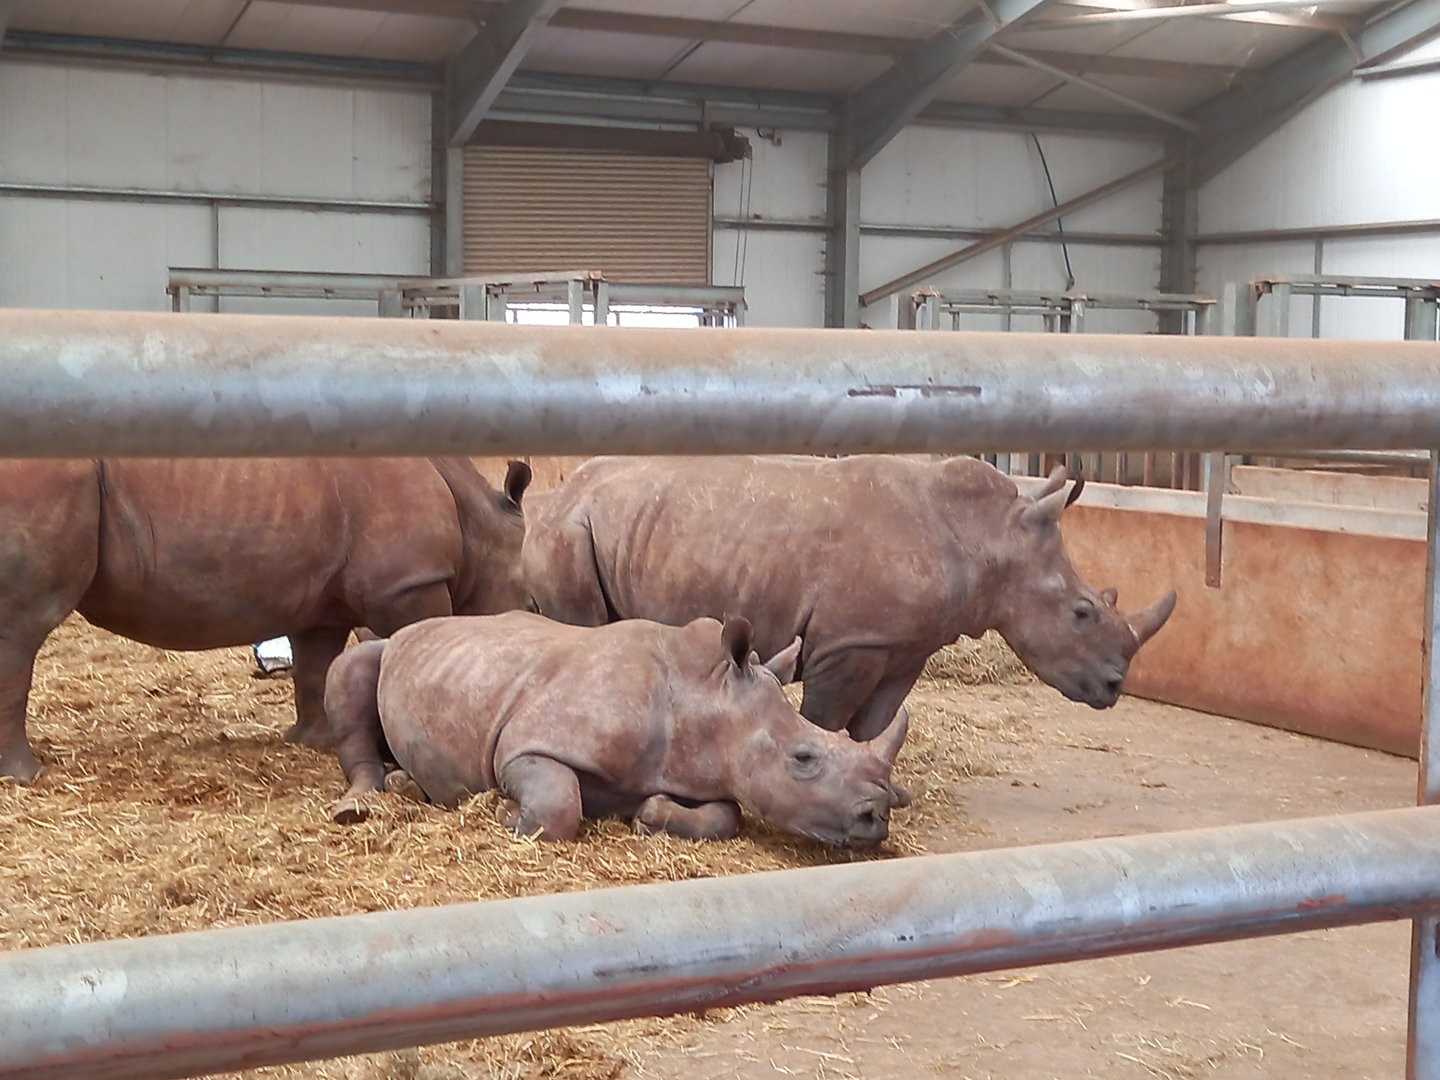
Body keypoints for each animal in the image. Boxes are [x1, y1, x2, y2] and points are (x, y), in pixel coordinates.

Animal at [0, 457, 532, 783]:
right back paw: (28, 775)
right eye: (530, 603)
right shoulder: (407, 585)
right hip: (45, 482)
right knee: (22, 629)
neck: (479, 524)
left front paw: (312, 742)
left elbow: (316, 668)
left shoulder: (325, 601)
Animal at [324, 612, 907, 848]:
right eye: (803, 759)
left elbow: (728, 814)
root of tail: (410, 628)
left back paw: (405, 784)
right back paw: (362, 803)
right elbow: (558, 802)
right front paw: (502, 813)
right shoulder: (525, 745)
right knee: (352, 668)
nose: (876, 818)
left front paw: (649, 817)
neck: (702, 694)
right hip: (389, 649)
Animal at [522, 455, 1176, 743]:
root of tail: (555, 495)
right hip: (570, 532)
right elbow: (826, 718)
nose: (1114, 687)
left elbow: (875, 722)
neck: (988, 538)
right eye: (1081, 612)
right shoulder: (849, 644)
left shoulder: (904, 645)